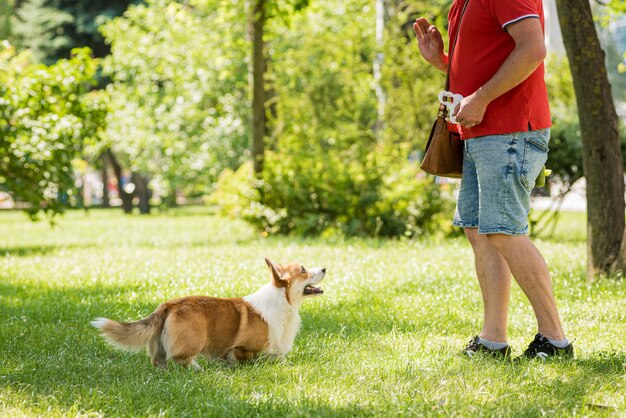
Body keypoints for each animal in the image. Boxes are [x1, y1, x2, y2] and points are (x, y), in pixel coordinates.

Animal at [92, 256, 326, 368]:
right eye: (303, 270)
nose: (324, 268)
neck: (282, 301)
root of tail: (169, 304)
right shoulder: (241, 348)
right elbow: (253, 356)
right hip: (194, 340)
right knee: (180, 359)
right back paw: (198, 369)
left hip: (159, 349)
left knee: (159, 362)